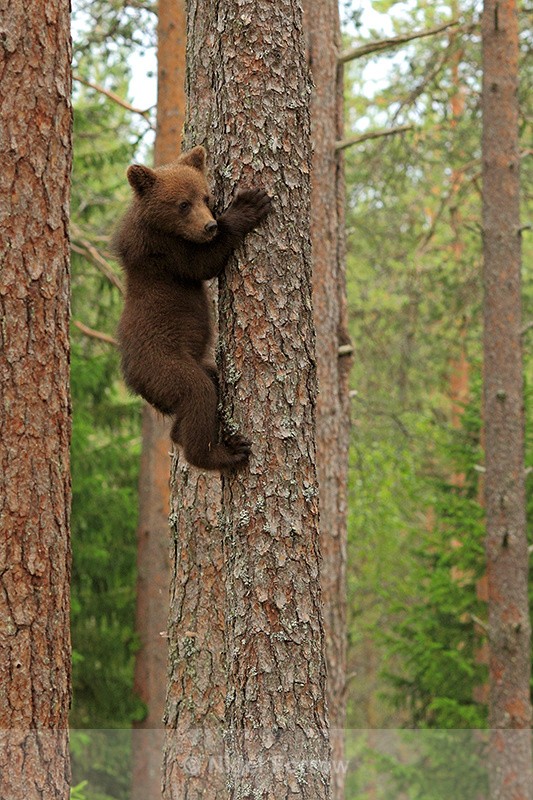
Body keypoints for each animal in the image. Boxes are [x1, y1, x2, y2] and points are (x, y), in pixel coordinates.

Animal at [113, 145, 272, 471]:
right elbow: (204, 262)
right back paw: (225, 452)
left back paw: (180, 435)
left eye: (206, 197)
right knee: (198, 394)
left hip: (193, 366)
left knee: (206, 387)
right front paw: (249, 204)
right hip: (165, 367)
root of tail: (134, 382)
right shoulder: (164, 252)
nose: (210, 225)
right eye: (183, 204)